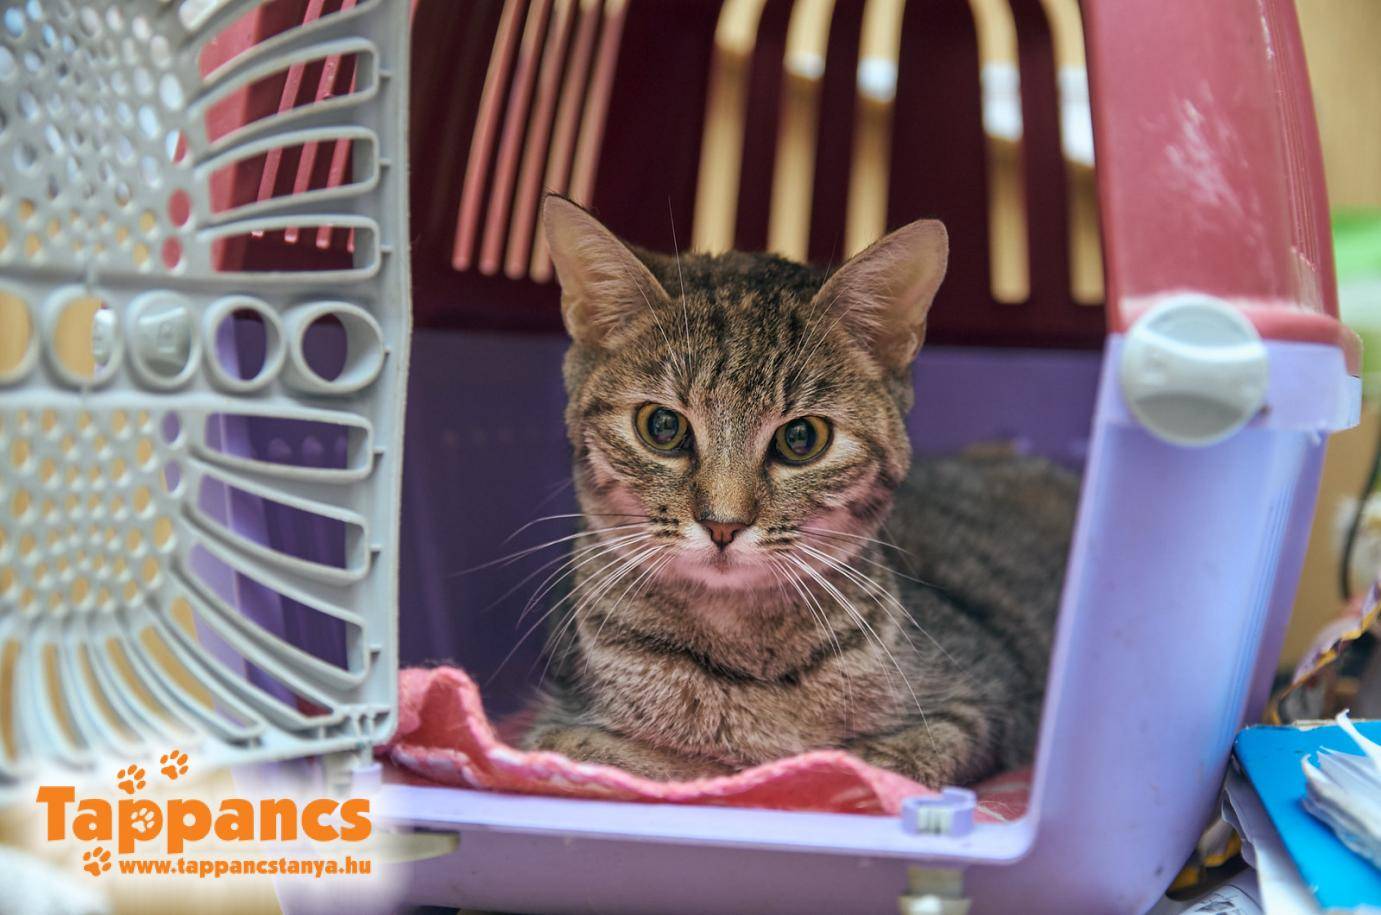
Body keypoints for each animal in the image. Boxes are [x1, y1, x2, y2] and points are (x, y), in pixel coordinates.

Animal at [522, 195, 1078, 786]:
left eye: (801, 438)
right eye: (663, 426)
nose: (723, 524)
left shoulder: (979, 707)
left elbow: (881, 762)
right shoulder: (555, 727)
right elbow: (651, 760)